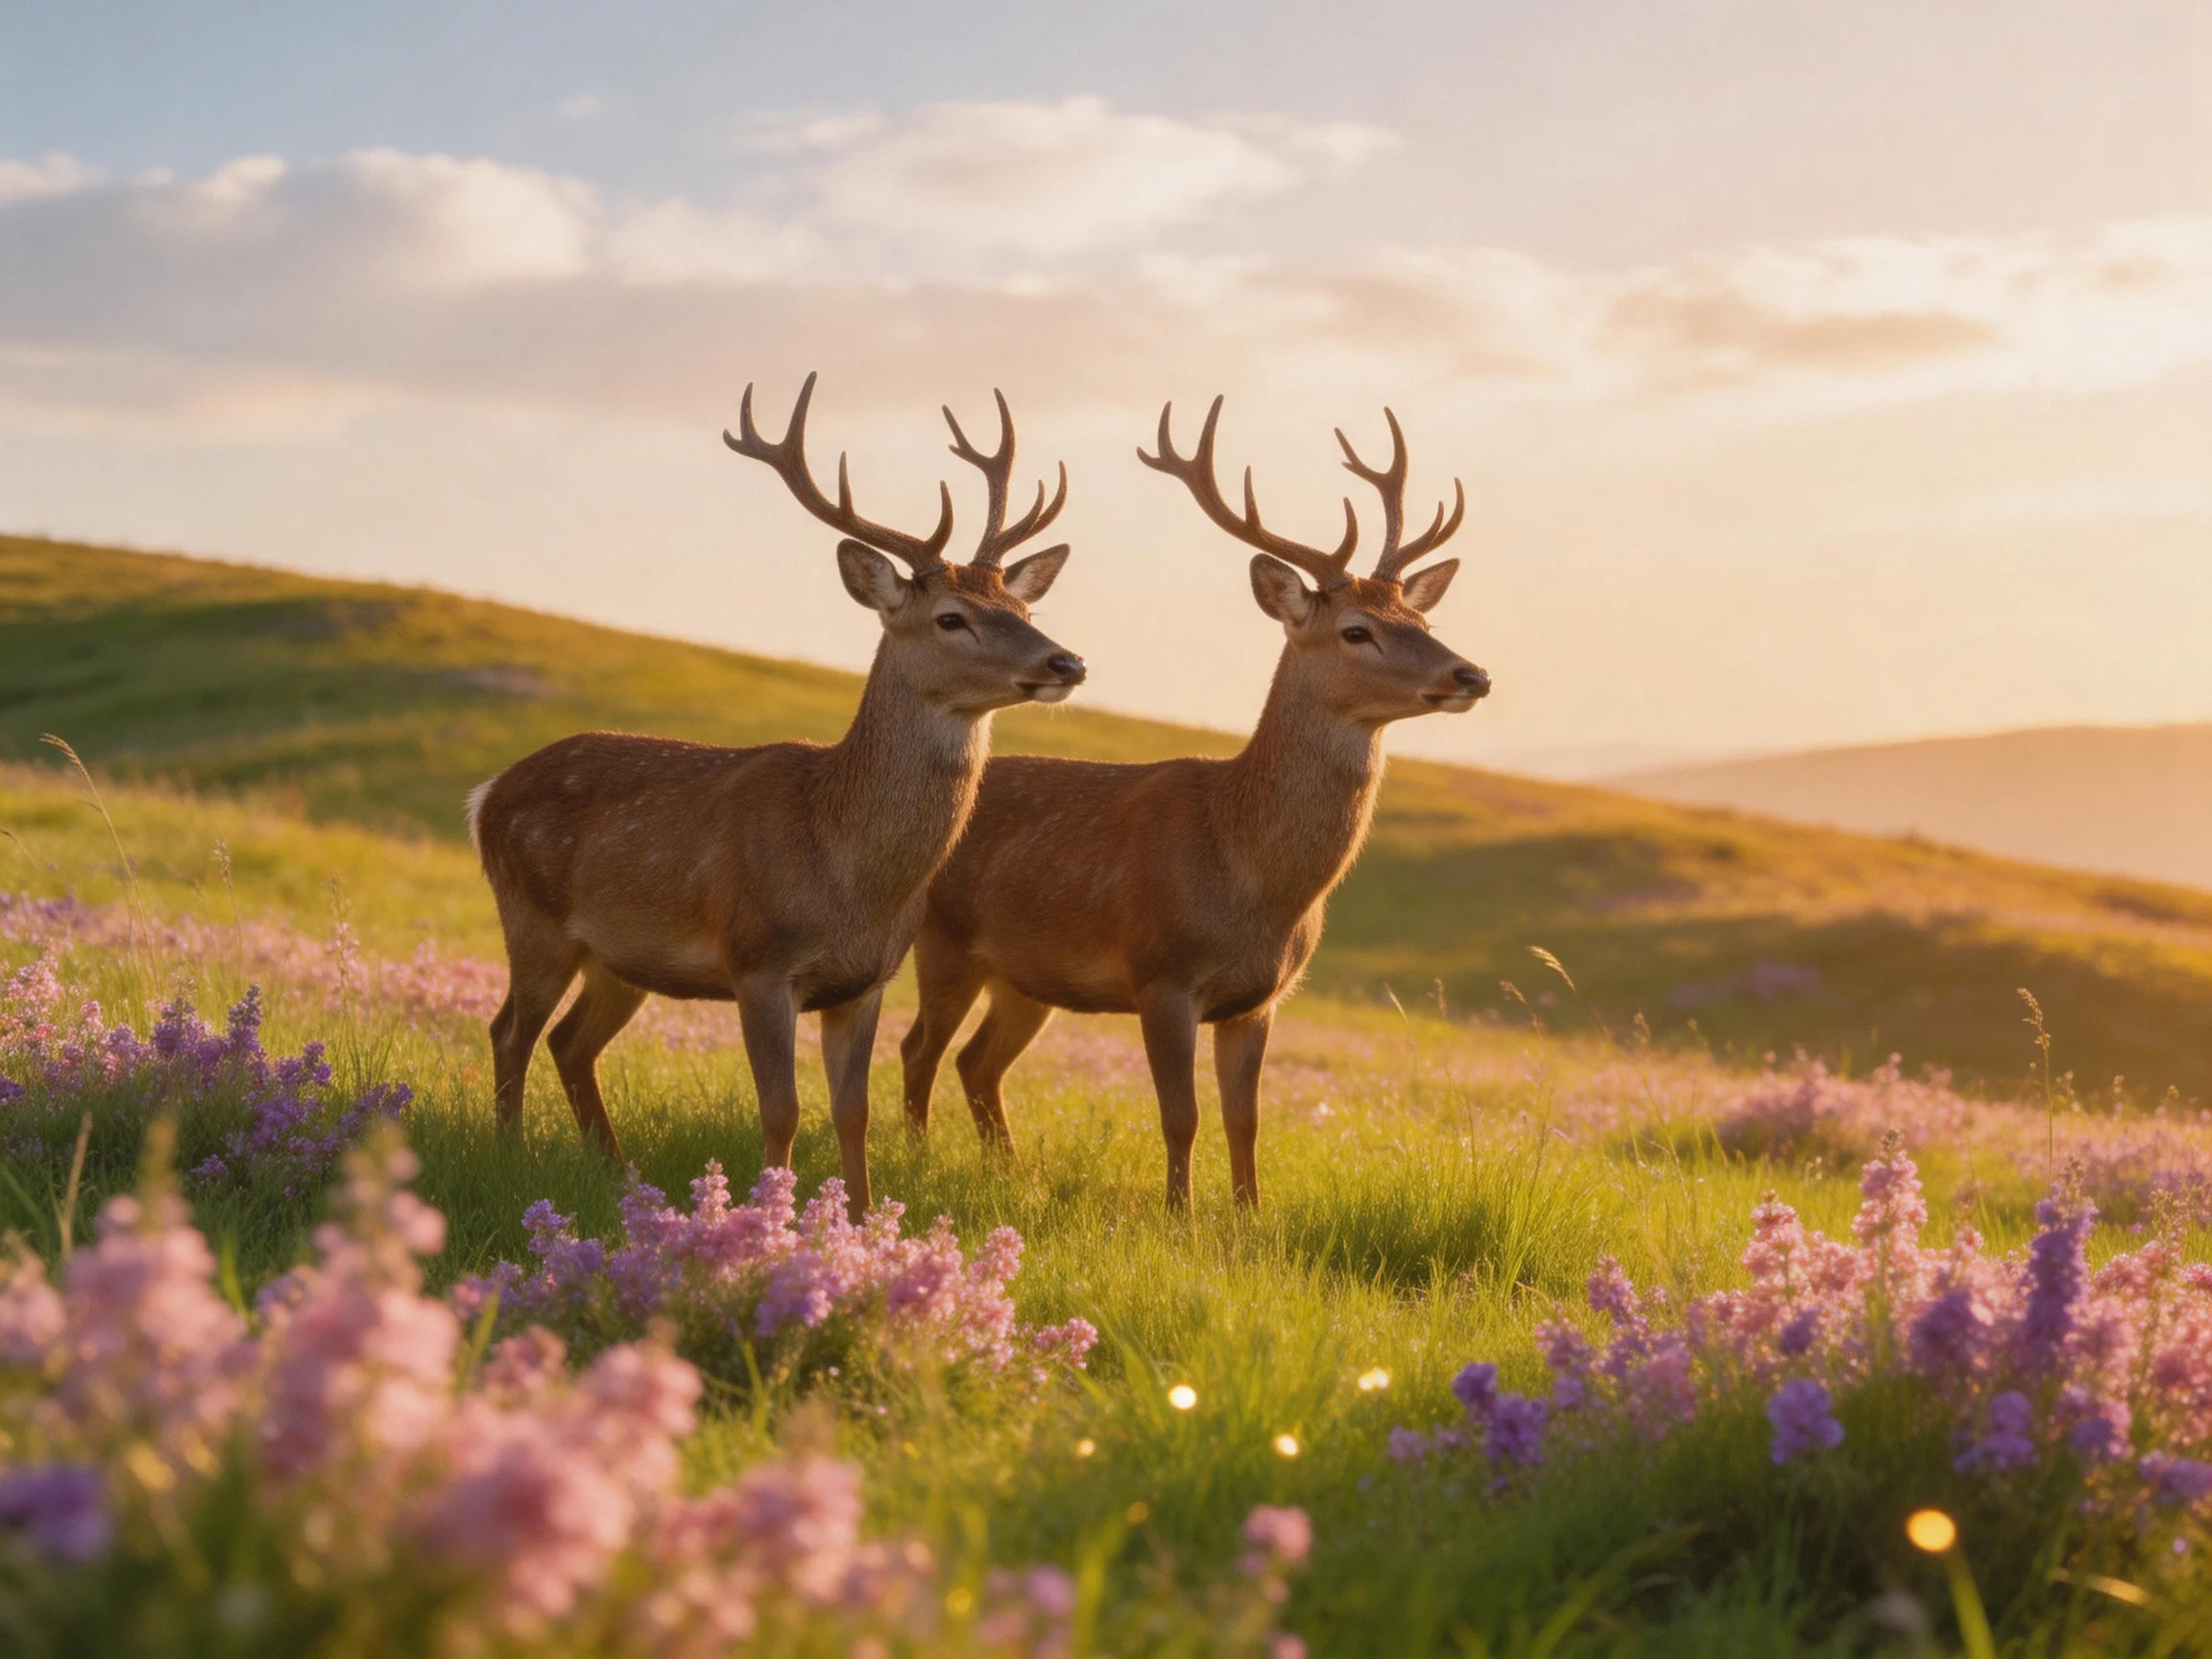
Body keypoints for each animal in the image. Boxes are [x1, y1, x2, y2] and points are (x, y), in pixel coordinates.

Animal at [470, 373, 1086, 1219]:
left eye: (1023, 611)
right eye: (950, 617)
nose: (1066, 662)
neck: (848, 866)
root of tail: (487, 793)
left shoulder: (865, 980)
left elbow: (853, 1111)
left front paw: (858, 1222)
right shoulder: (758, 960)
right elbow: (782, 1109)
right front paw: (772, 1217)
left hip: (619, 956)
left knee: (569, 1042)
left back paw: (619, 1174)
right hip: (532, 917)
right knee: (510, 1031)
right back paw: (509, 1154)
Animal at [898, 395, 1488, 1209]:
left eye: (1423, 623)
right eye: (1356, 630)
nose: (1471, 675)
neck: (1251, 876)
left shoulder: (1260, 998)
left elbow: (1247, 1119)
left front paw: (1250, 1217)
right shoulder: (1162, 973)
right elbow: (1182, 1114)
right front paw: (1179, 1216)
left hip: (1027, 975)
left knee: (977, 1061)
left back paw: (1011, 1175)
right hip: (944, 940)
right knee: (918, 1049)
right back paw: (919, 1159)